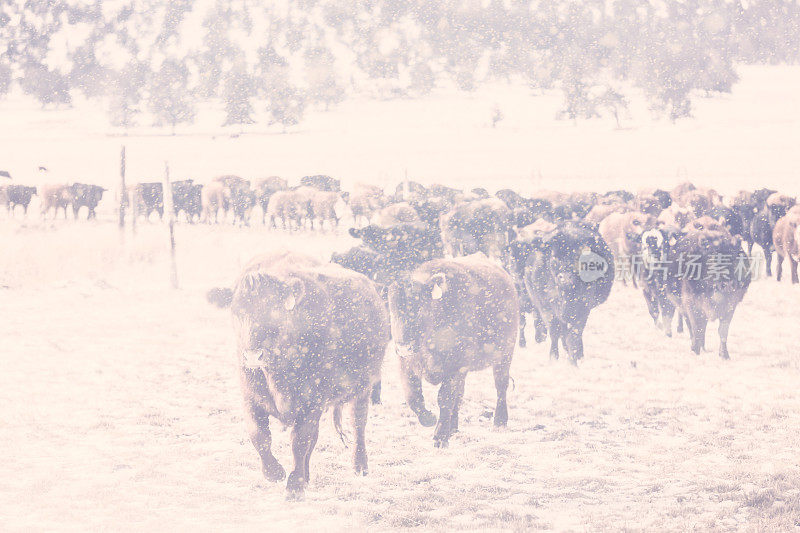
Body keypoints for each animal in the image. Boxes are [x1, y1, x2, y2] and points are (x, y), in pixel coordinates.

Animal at [208, 251, 390, 496]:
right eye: (236, 312)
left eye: (274, 311)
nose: (253, 355)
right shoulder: (251, 398)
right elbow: (259, 435)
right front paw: (275, 473)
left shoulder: (312, 401)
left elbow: (299, 441)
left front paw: (294, 486)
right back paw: (307, 476)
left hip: (363, 388)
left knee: (358, 423)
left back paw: (360, 465)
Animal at [388, 254, 520, 444]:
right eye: (391, 310)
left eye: (420, 309)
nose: (404, 347)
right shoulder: (406, 364)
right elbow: (413, 396)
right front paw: (430, 419)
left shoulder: (456, 365)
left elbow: (444, 397)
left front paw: (440, 436)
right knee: (459, 395)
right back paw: (453, 427)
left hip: (504, 355)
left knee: (501, 385)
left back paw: (499, 421)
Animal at [516, 219, 616, 362]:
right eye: (554, 257)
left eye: (581, 257)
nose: (566, 278)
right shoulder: (547, 307)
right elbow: (554, 331)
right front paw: (553, 357)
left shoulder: (583, 308)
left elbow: (575, 334)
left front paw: (575, 357)